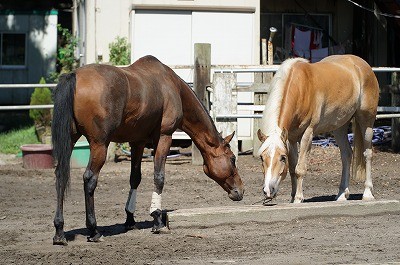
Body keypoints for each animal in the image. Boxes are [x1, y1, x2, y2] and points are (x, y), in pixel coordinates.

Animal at [50, 54, 244, 244]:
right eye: (233, 158)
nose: (240, 191)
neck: (173, 87)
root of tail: (73, 75)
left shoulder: (138, 142)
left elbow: (134, 178)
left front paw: (130, 219)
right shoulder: (164, 137)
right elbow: (159, 177)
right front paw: (157, 218)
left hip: (71, 140)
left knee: (60, 175)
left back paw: (59, 231)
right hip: (99, 145)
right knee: (89, 179)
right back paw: (94, 230)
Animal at [258, 53, 380, 202]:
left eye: (282, 157)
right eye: (262, 158)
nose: (268, 190)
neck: (301, 88)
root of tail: (362, 65)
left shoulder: (307, 134)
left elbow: (300, 168)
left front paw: (298, 198)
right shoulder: (291, 138)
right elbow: (292, 169)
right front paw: (292, 198)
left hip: (366, 120)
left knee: (367, 153)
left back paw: (367, 193)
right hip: (339, 127)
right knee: (346, 154)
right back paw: (341, 194)